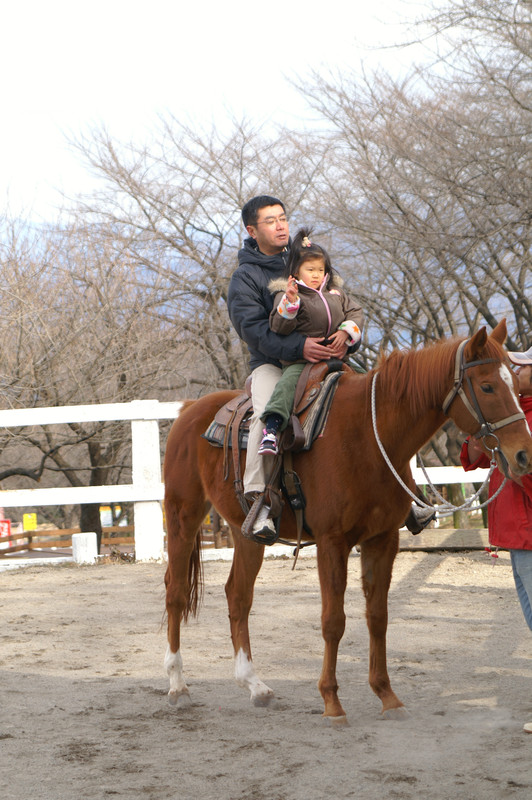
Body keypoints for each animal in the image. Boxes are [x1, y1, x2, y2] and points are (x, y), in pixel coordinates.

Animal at [163, 320, 532, 723]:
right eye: (487, 386)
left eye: (516, 386)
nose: (523, 454)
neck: (369, 435)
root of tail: (190, 410)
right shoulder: (332, 542)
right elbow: (333, 621)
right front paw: (331, 701)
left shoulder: (382, 540)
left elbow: (378, 616)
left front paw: (387, 695)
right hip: (182, 516)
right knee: (176, 592)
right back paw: (178, 686)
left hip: (245, 534)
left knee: (238, 596)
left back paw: (255, 686)